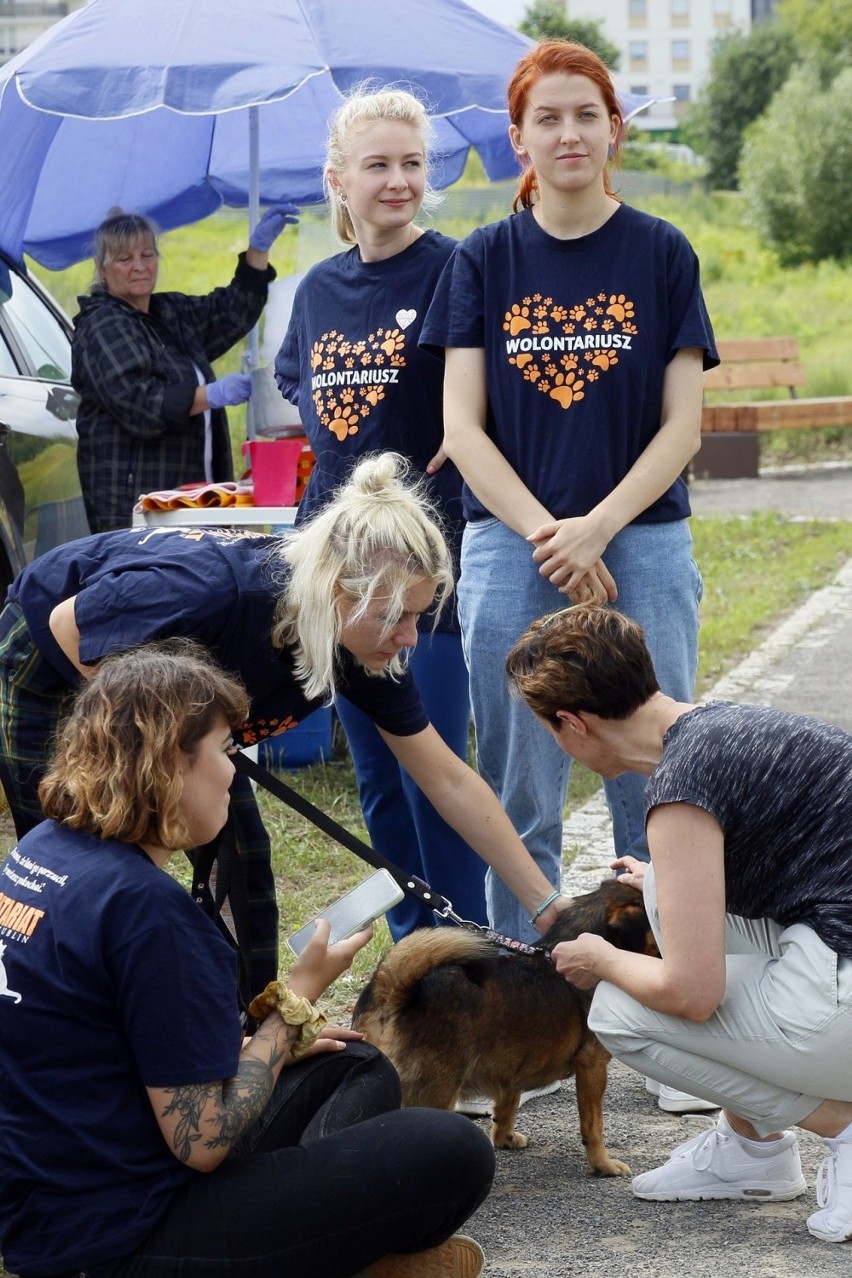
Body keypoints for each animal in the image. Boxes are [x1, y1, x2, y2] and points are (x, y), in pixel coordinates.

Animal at [349, 879, 659, 1175]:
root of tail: (395, 992)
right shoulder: (592, 1067)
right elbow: (593, 1125)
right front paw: (602, 1164)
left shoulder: (513, 1065)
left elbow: (507, 1104)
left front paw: (504, 1138)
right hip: (433, 1094)